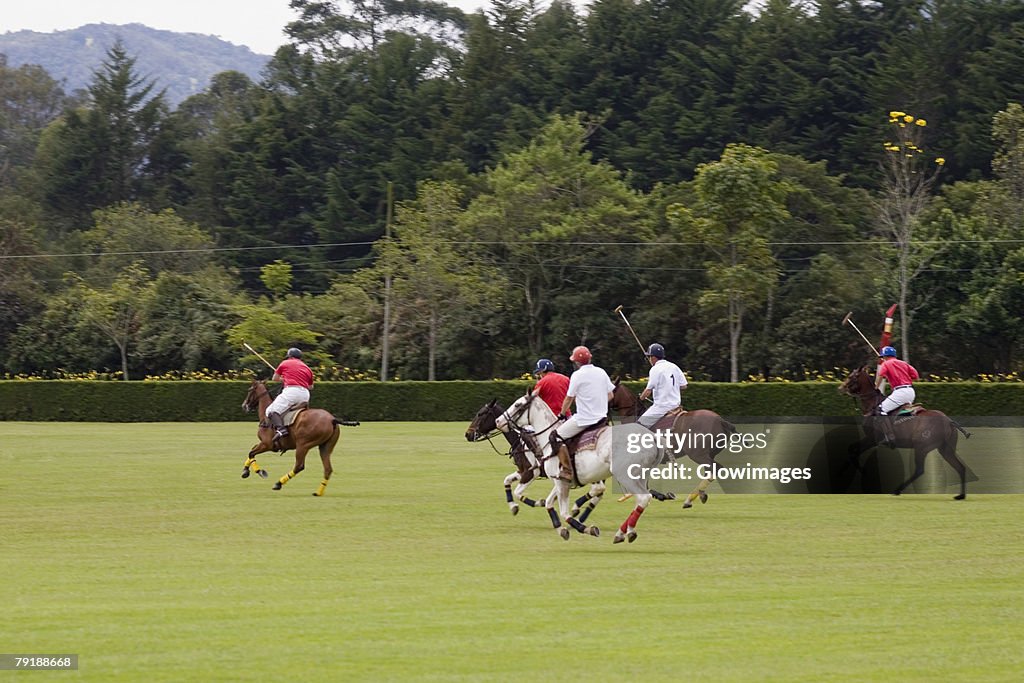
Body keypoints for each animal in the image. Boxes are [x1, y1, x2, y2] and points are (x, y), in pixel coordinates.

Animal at [495, 393, 663, 540]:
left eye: (518, 404)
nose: (498, 421)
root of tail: (653, 437)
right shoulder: (560, 480)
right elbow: (548, 503)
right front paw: (561, 528)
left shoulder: (556, 479)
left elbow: (564, 512)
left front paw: (587, 529)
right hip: (640, 476)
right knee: (640, 499)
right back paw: (622, 532)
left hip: (624, 474)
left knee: (643, 498)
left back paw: (627, 532)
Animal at [839, 366, 966, 499]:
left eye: (850, 377)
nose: (840, 388)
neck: (872, 405)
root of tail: (949, 421)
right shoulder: (869, 439)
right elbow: (851, 448)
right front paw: (843, 470)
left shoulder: (872, 439)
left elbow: (853, 450)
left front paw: (862, 472)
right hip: (945, 449)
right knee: (960, 467)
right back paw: (961, 495)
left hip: (921, 447)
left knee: (919, 470)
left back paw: (897, 490)